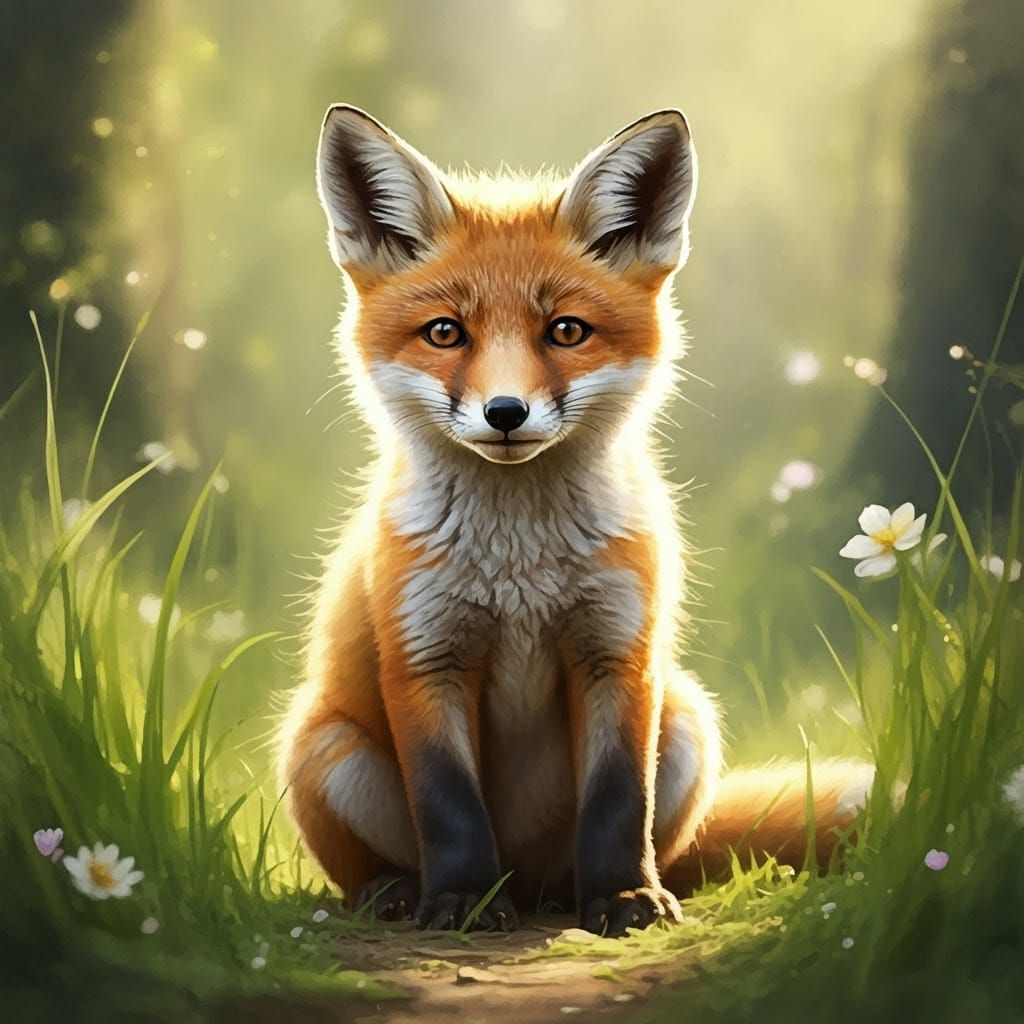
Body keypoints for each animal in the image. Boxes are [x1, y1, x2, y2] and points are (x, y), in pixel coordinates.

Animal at [278, 104, 874, 936]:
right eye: (444, 332)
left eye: (566, 330)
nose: (505, 412)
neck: (519, 567)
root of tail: (527, 879)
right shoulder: (425, 657)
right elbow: (449, 806)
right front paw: (461, 901)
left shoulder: (617, 653)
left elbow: (619, 800)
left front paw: (623, 897)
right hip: (324, 743)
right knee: (374, 863)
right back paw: (399, 892)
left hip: (686, 716)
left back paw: (584, 895)